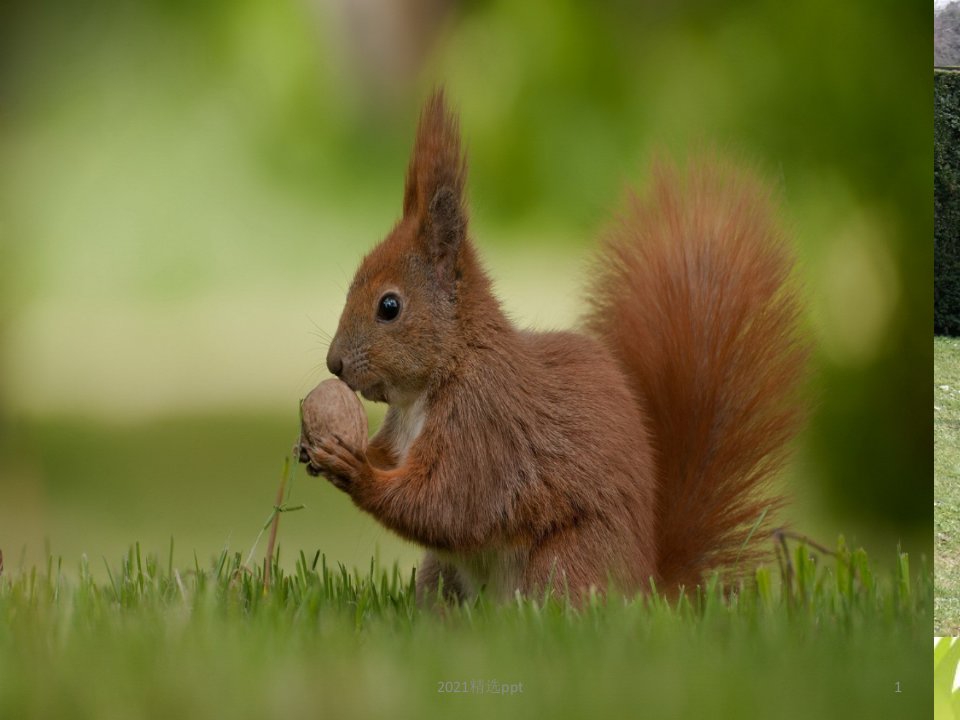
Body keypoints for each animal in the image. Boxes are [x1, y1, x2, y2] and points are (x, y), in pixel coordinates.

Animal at [298, 90, 804, 600]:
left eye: (389, 306)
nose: (334, 363)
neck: (439, 378)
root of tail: (648, 586)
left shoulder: (485, 427)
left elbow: (445, 505)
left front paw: (355, 470)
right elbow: (397, 467)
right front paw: (316, 446)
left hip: (562, 564)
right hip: (442, 577)